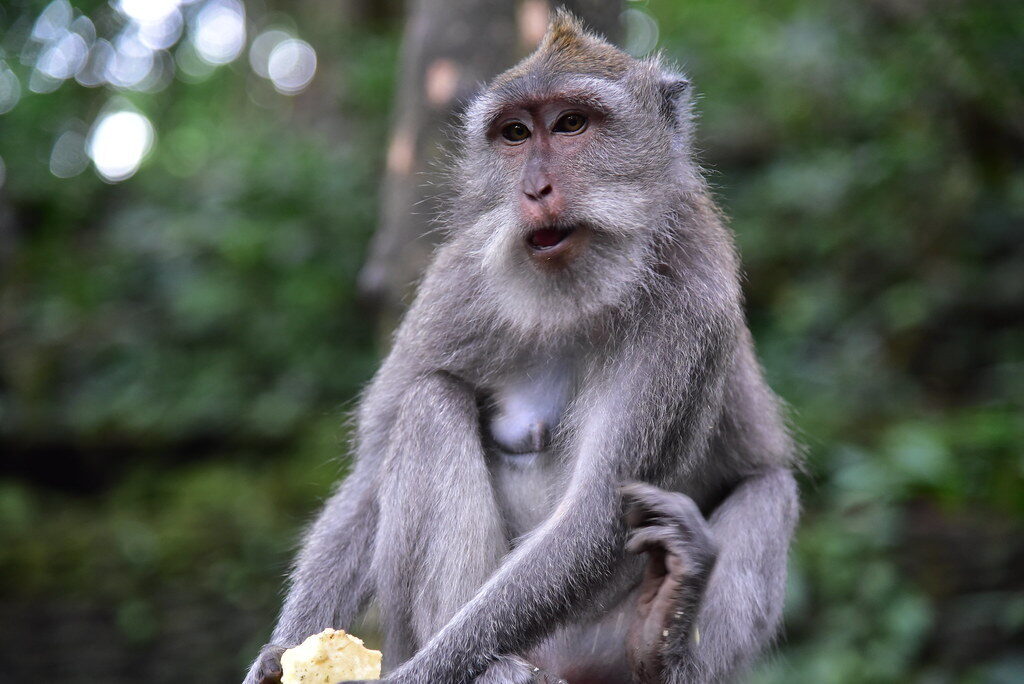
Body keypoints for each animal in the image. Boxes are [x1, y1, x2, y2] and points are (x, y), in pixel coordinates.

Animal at [245, 10, 798, 684]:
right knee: (429, 404)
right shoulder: (458, 283)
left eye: (571, 124)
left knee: (770, 490)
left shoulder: (692, 309)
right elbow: (371, 471)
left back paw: (659, 643)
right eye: (514, 133)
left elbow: (594, 517)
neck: (578, 294)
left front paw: (416, 677)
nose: (534, 189)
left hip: (592, 647)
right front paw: (281, 652)